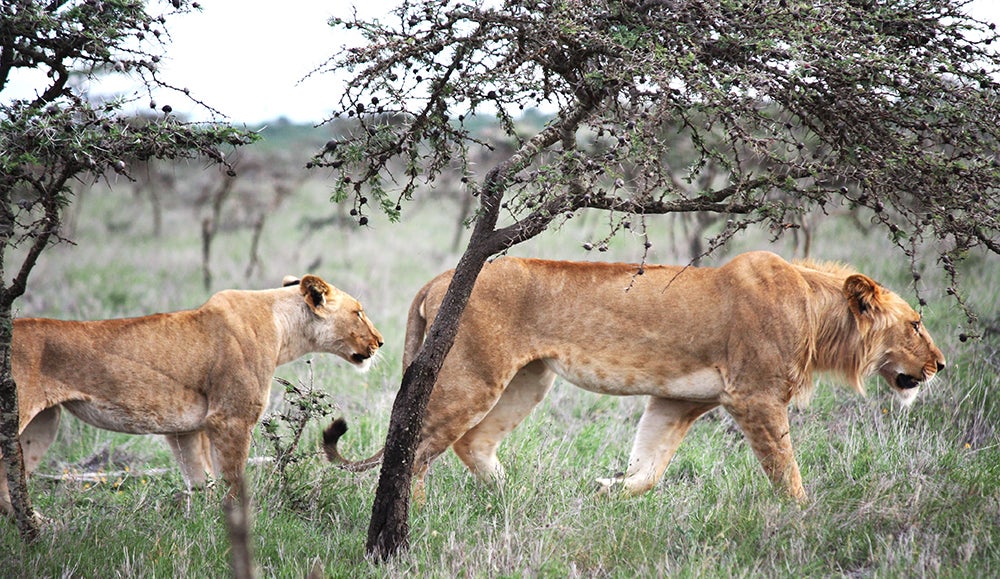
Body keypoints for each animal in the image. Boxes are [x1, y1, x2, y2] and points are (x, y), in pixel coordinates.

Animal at [0, 274, 382, 520]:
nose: (379, 341)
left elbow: (201, 483)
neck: (283, 327)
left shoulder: (185, 429)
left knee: (10, 485)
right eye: (358, 312)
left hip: (44, 424)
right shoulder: (230, 419)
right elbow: (233, 482)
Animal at [324, 254, 940, 502]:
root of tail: (441, 278)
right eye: (915, 324)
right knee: (415, 448)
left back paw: (513, 494)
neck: (816, 315)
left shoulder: (677, 402)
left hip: (529, 380)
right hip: (473, 376)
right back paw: (412, 523)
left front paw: (606, 490)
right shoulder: (756, 398)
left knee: (471, 443)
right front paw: (804, 520)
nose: (940, 365)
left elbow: (649, 468)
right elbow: (786, 472)